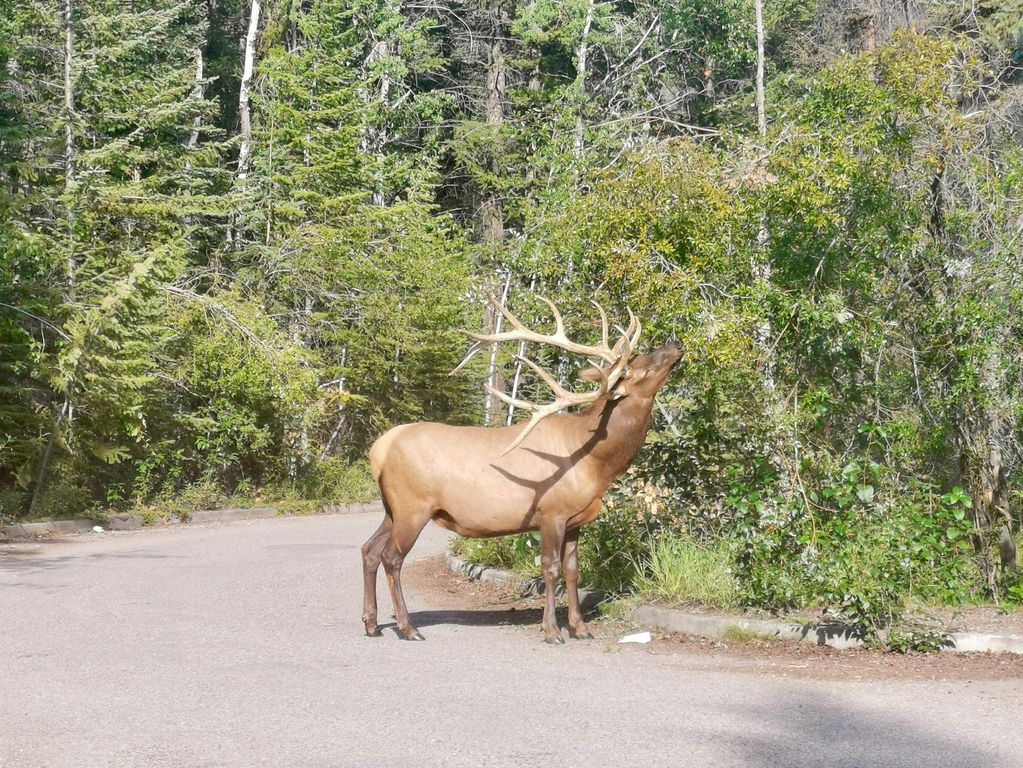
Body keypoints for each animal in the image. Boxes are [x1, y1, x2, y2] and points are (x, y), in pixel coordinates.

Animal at [356, 296, 683, 646]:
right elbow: (550, 569)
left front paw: (581, 628)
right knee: (391, 558)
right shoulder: (551, 512)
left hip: (392, 509)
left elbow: (573, 570)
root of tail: (378, 450)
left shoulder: (575, 519)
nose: (676, 343)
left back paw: (372, 624)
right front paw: (552, 631)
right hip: (412, 506)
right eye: (639, 369)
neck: (597, 463)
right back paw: (408, 628)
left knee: (369, 549)